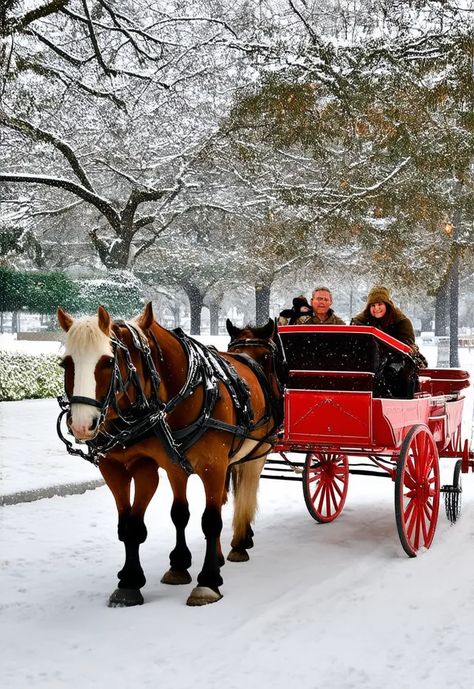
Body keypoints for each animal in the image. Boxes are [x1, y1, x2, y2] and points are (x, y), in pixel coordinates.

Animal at [57, 304, 284, 604]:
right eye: (66, 364)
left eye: (107, 362)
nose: (83, 424)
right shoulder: (140, 467)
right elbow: (160, 518)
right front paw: (149, 574)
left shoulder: (210, 466)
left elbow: (210, 521)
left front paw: (207, 581)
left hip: (257, 451)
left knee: (246, 489)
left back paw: (240, 542)